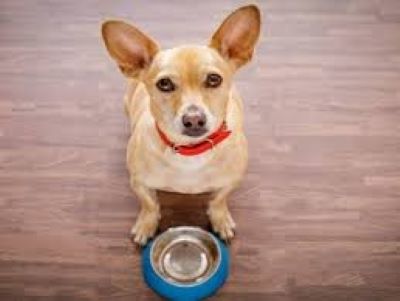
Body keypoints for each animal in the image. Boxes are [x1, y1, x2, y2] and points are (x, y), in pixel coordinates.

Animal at [101, 4, 260, 244]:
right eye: (164, 84)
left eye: (214, 79)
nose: (193, 119)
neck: (190, 152)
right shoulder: (139, 184)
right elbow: (150, 205)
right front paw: (146, 224)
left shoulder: (231, 182)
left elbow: (218, 201)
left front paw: (220, 218)